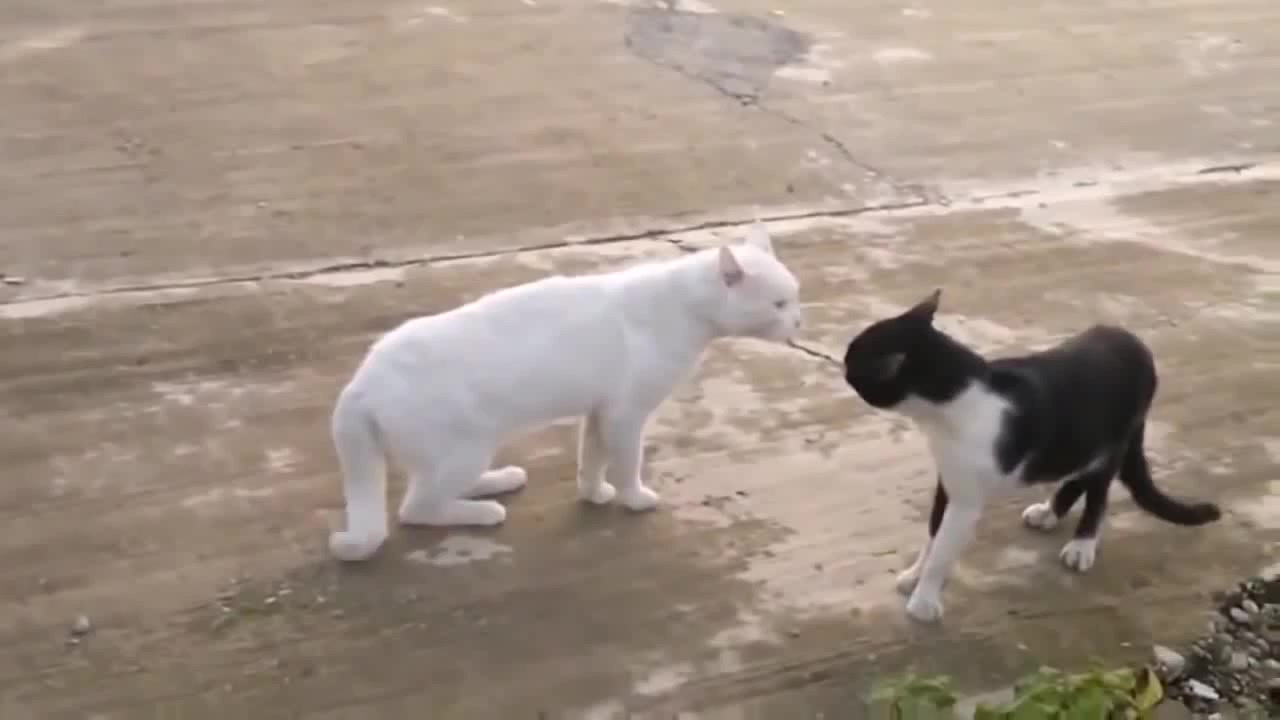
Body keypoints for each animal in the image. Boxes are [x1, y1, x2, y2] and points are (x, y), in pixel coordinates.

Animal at [328, 223, 803, 561]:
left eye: (795, 299)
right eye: (779, 304)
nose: (799, 320)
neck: (682, 309)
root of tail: (360, 382)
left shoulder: (601, 411)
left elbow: (591, 458)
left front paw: (594, 493)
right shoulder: (626, 415)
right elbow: (627, 463)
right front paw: (633, 498)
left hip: (462, 453)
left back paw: (494, 482)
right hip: (463, 449)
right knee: (416, 508)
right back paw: (482, 511)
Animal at [842, 289, 1220, 623]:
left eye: (853, 361)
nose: (842, 364)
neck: (947, 410)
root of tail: (1138, 344)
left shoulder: (966, 499)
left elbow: (944, 547)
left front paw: (924, 601)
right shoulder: (948, 481)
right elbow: (933, 536)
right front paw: (913, 577)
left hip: (1113, 440)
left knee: (1098, 490)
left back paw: (1082, 545)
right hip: (1080, 440)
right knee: (1078, 475)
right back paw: (1049, 512)